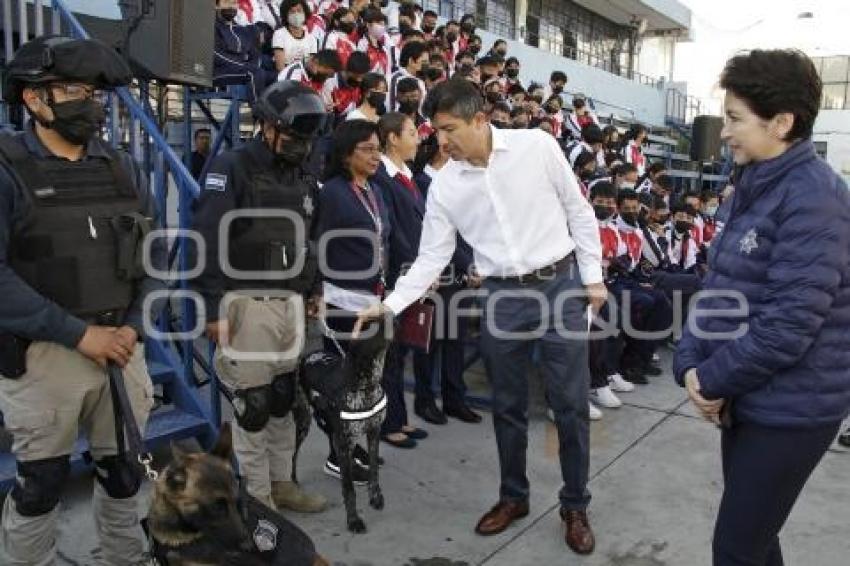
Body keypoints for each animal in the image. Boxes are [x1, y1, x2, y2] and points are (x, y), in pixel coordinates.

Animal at [300, 322, 390, 536]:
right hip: (308, 422)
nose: (390, 317)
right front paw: (353, 520)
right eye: (368, 326)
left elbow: (374, 470)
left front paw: (375, 496)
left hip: (330, 425)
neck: (366, 385)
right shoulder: (344, 440)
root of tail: (309, 355)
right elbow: (349, 489)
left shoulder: (374, 432)